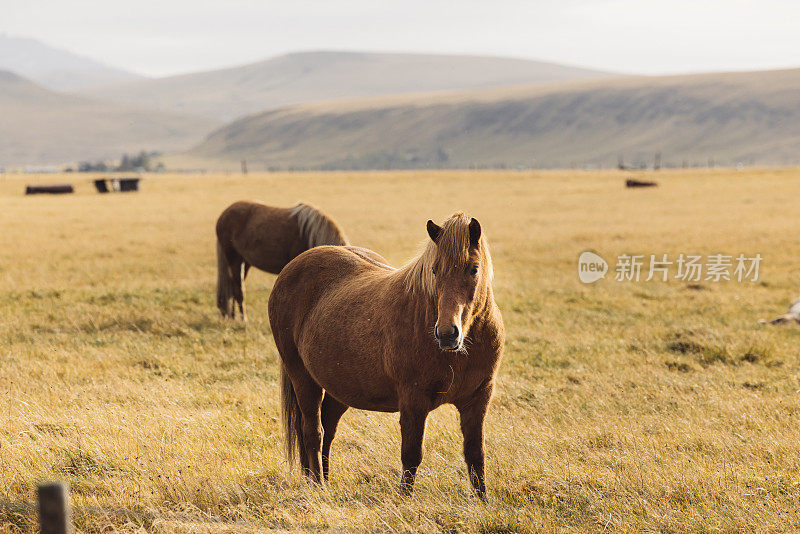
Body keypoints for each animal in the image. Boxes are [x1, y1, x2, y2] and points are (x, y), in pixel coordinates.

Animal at [216, 200, 346, 318]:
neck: (308, 234)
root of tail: (224, 214)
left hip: (244, 262)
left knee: (232, 287)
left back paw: (232, 316)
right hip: (234, 259)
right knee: (238, 290)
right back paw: (243, 320)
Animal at [268, 211, 506, 500]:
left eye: (473, 269)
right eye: (435, 270)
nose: (447, 334)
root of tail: (292, 268)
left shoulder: (478, 398)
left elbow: (475, 454)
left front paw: (483, 501)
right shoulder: (414, 400)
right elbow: (412, 454)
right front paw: (404, 500)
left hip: (341, 386)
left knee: (328, 427)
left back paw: (322, 478)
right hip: (302, 378)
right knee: (312, 430)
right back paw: (318, 486)